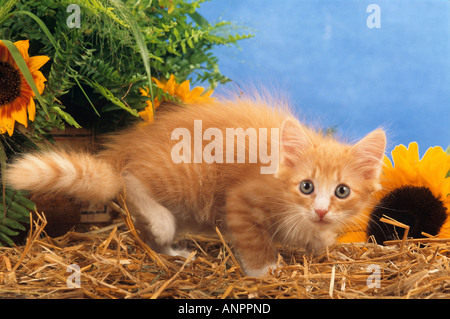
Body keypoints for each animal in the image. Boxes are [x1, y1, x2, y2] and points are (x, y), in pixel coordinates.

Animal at [7, 95, 384, 278]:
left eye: (342, 191)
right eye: (306, 186)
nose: (320, 210)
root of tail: (125, 146)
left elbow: (317, 238)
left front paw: (318, 240)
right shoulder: (241, 198)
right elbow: (253, 239)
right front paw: (265, 270)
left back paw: (175, 252)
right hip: (185, 175)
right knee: (129, 178)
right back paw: (159, 220)